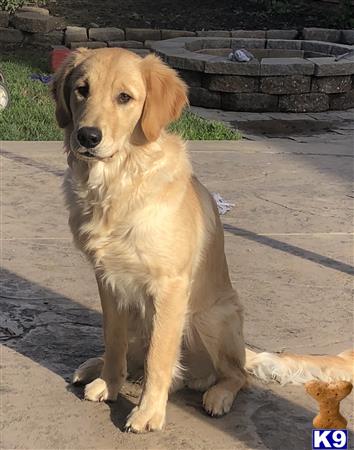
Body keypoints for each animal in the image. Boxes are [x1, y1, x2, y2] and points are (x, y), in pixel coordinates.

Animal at [52, 48, 354, 432]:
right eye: (82, 90)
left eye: (124, 97)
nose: (88, 136)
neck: (117, 183)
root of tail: (244, 347)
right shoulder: (108, 280)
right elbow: (114, 339)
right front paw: (109, 382)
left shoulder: (170, 286)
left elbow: (158, 359)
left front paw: (148, 412)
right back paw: (95, 366)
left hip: (208, 318)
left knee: (237, 375)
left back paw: (218, 395)